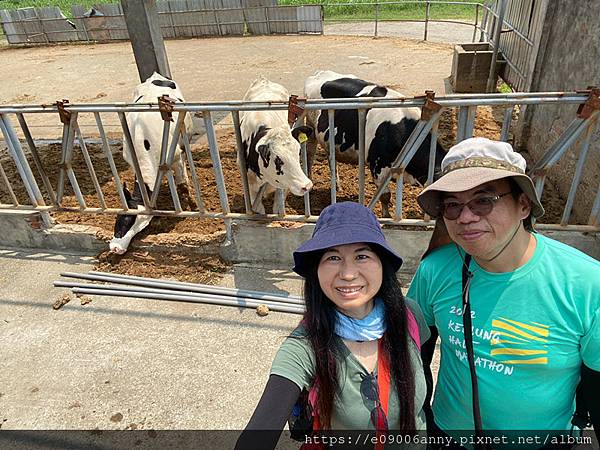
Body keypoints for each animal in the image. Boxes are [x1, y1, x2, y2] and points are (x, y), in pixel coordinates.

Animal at [108, 70, 192, 253]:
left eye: (136, 223)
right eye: (120, 217)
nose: (115, 248)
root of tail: (156, 75)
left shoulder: (176, 155)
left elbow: (182, 184)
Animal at [239, 77, 314, 214]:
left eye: (298, 152)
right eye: (278, 159)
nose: (306, 186)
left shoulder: (284, 186)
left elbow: (278, 209)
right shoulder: (250, 186)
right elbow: (259, 210)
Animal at [304, 69, 446, 217]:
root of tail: (320, 72)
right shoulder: (378, 166)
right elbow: (385, 195)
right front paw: (386, 216)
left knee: (331, 158)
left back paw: (337, 185)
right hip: (311, 127)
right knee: (310, 154)